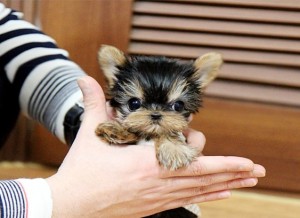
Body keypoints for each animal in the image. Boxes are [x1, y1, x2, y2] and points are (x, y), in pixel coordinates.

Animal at [96, 45, 223, 217]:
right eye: (133, 103)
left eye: (178, 105)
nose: (156, 114)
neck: (151, 136)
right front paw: (115, 129)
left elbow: (169, 132)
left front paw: (174, 149)